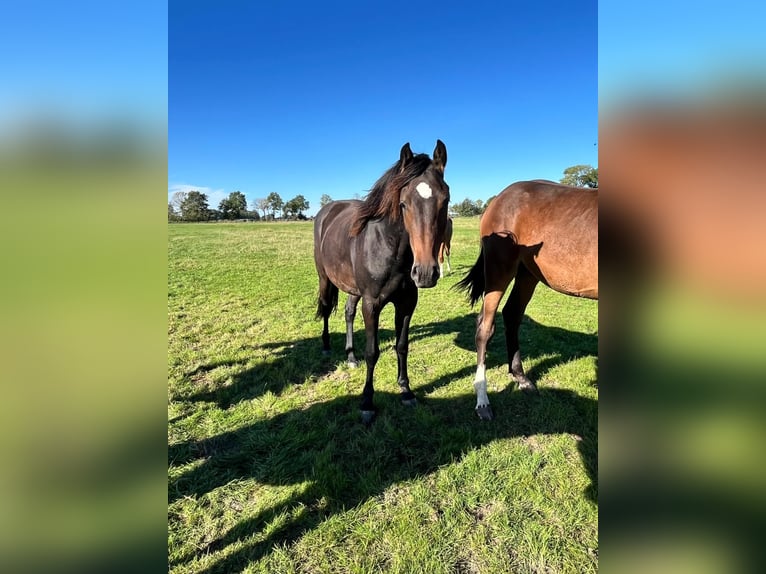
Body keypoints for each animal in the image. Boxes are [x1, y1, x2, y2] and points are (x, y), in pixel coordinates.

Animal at [314, 140, 450, 423]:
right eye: (404, 204)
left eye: (445, 200)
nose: (425, 273)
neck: (390, 248)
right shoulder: (372, 304)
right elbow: (372, 352)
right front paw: (367, 403)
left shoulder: (407, 304)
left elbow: (402, 346)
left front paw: (406, 391)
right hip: (325, 278)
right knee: (326, 308)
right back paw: (326, 346)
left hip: (353, 289)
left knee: (348, 312)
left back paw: (350, 356)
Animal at [456, 180, 597, 420]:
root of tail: (498, 198)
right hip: (499, 272)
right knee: (485, 328)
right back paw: (483, 401)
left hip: (527, 273)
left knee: (512, 314)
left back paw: (521, 378)